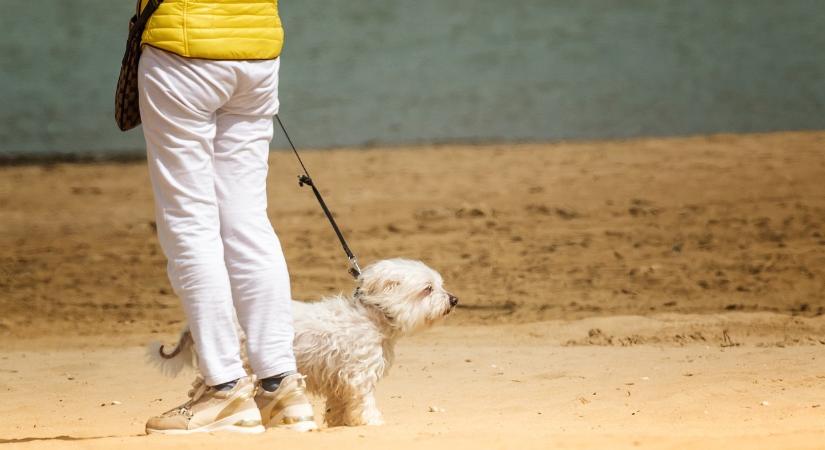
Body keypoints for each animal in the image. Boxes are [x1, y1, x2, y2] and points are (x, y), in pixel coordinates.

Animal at [148, 258, 458, 428]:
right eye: (428, 289)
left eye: (440, 286)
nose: (454, 299)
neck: (370, 316)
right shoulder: (359, 375)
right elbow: (364, 401)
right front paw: (372, 422)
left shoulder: (341, 378)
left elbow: (339, 404)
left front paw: (340, 422)